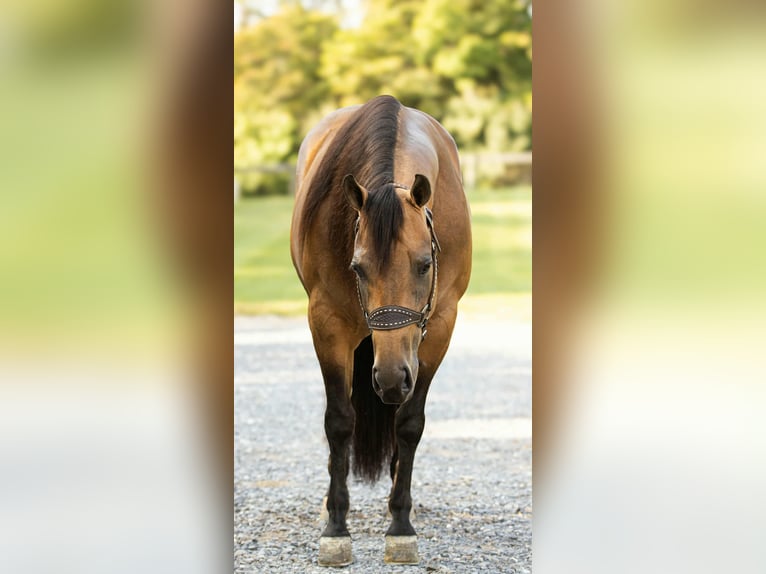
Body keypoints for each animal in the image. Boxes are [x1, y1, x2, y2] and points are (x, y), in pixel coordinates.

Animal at [290, 95, 472, 566]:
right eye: (358, 268)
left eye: (424, 265)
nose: (390, 377)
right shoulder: (327, 323)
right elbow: (339, 421)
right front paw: (336, 528)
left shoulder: (440, 326)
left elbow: (409, 423)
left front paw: (401, 524)